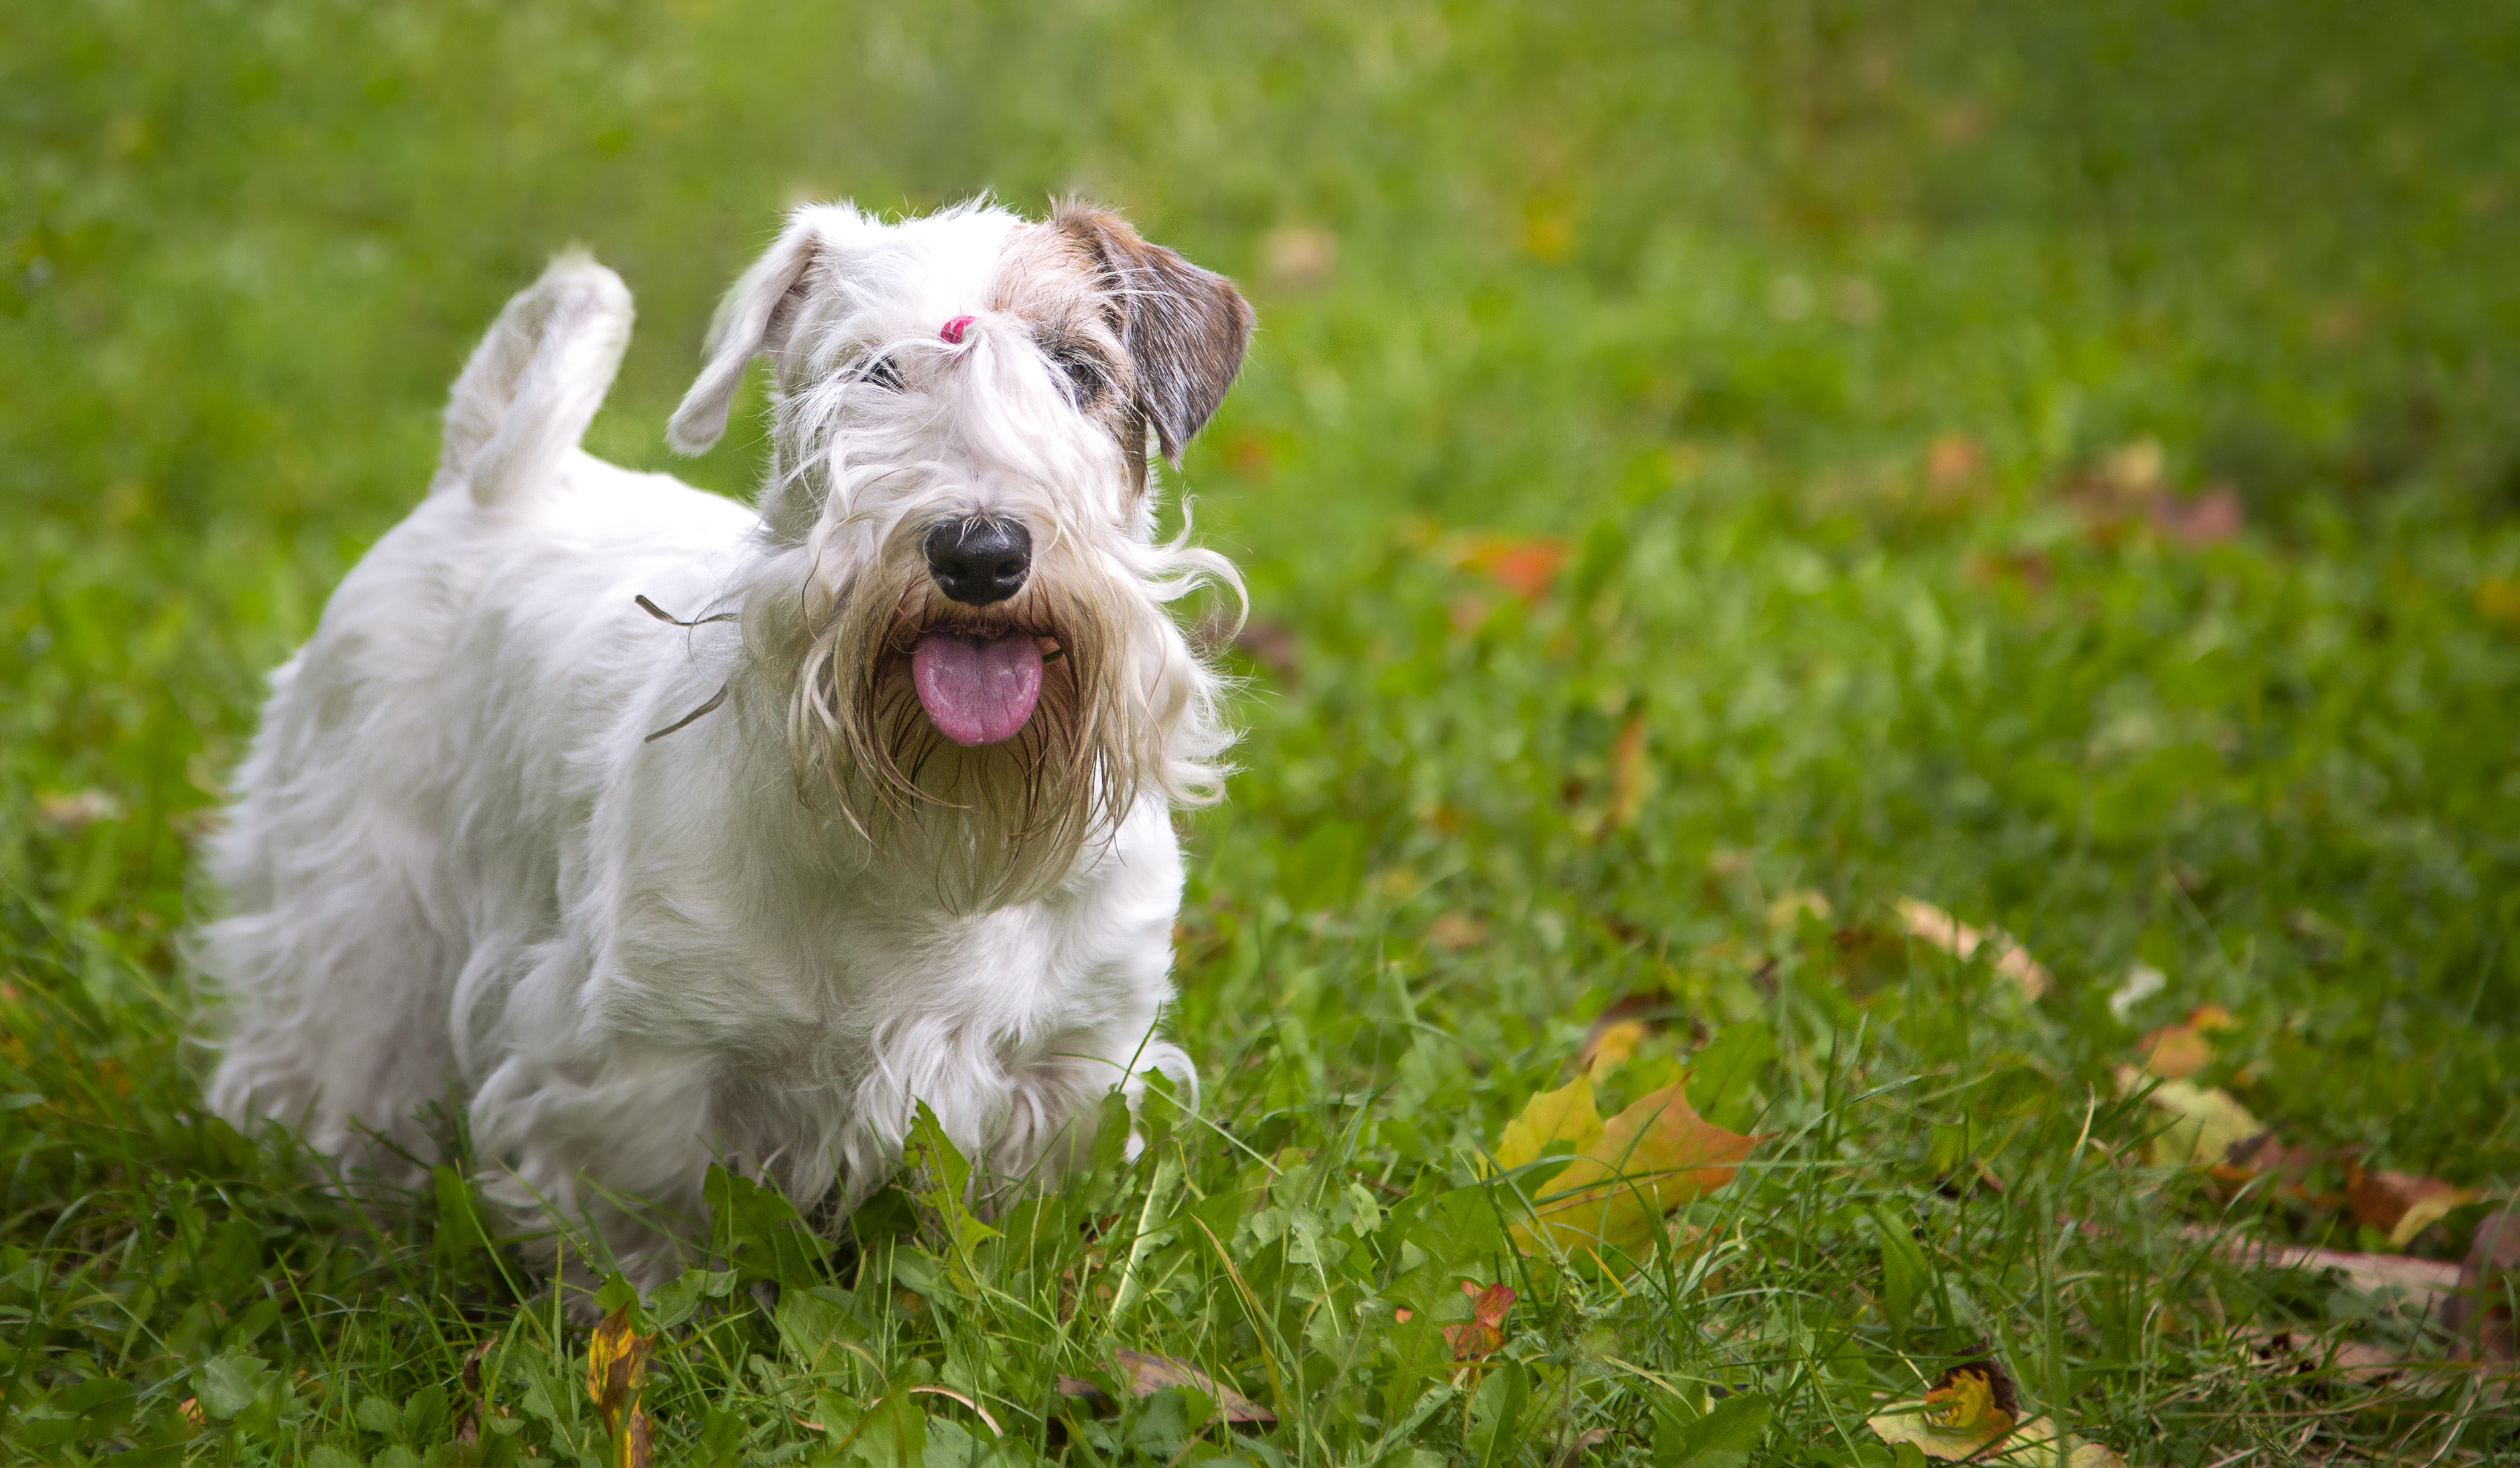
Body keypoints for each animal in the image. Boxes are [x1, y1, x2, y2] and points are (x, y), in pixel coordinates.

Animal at [202, 201, 1255, 1289]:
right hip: (362, 911)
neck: (925, 835)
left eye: (1076, 370)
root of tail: (483, 483)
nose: (980, 551)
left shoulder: (1073, 1059)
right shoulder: (642, 1065)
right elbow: (648, 1240)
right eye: (872, 372)